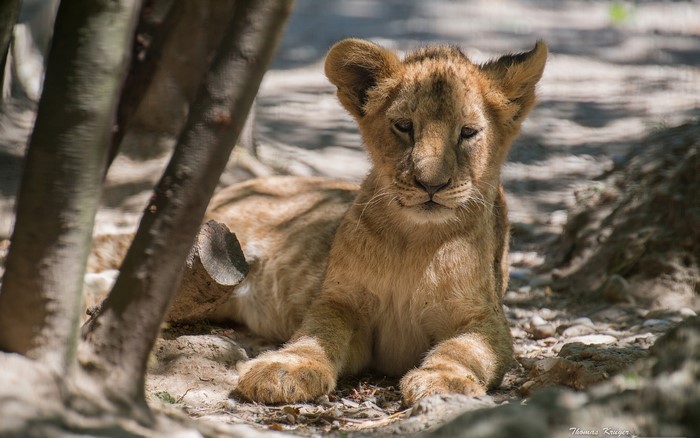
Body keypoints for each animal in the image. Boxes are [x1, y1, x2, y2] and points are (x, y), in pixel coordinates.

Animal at [205, 38, 547, 405]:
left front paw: (447, 379)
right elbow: (318, 333)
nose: (431, 184)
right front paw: (285, 368)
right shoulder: (341, 303)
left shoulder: (484, 319)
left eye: (468, 132)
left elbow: (465, 351)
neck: (416, 240)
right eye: (404, 126)